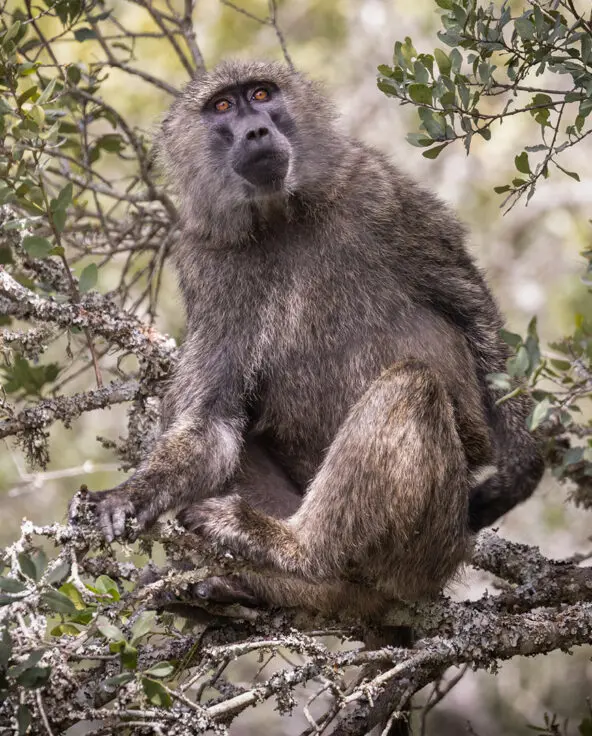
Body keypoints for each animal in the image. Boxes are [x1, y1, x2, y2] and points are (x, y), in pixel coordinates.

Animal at [82, 59, 544, 617]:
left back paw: (294, 547)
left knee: (411, 387)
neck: (282, 216)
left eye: (262, 95)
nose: (256, 131)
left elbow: (469, 305)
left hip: (430, 547)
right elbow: (210, 422)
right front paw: (127, 497)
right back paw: (240, 585)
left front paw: (520, 468)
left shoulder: (380, 192)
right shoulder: (205, 263)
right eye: (222, 106)